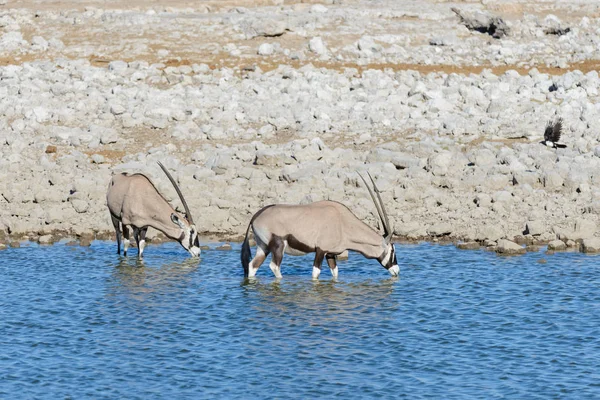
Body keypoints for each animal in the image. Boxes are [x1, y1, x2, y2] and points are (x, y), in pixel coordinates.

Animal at [239, 171, 398, 278]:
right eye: (392, 251)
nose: (397, 271)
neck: (343, 223)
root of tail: (256, 216)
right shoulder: (321, 250)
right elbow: (316, 273)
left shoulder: (330, 254)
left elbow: (335, 273)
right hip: (278, 246)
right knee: (274, 267)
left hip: (263, 248)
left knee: (252, 266)